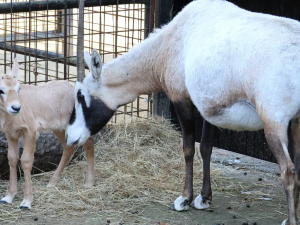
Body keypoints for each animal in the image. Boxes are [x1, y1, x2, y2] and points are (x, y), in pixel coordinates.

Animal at [0, 57, 95, 208]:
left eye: (18, 88)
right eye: (1, 90)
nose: (16, 107)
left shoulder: (30, 131)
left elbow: (26, 161)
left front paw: (26, 202)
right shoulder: (11, 134)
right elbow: (12, 159)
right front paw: (8, 197)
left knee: (89, 142)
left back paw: (89, 182)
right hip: (59, 129)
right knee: (69, 147)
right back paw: (52, 182)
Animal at [67, 0, 300, 224]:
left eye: (81, 95)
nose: (70, 138)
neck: (171, 40)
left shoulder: (181, 98)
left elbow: (188, 148)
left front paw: (184, 199)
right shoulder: (208, 107)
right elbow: (206, 147)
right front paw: (204, 198)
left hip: (273, 121)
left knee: (288, 170)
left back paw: (290, 220)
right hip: (297, 120)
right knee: (297, 165)